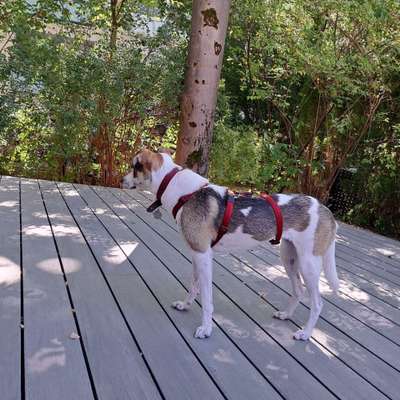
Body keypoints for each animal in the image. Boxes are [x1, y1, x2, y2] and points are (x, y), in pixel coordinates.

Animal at [122, 149, 340, 340]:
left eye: (134, 167)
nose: (121, 181)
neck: (183, 192)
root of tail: (326, 210)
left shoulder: (203, 255)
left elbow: (207, 300)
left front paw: (206, 328)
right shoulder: (196, 255)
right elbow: (193, 286)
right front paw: (185, 305)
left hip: (309, 264)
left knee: (318, 303)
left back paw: (306, 333)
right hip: (289, 258)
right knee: (299, 291)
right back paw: (286, 315)